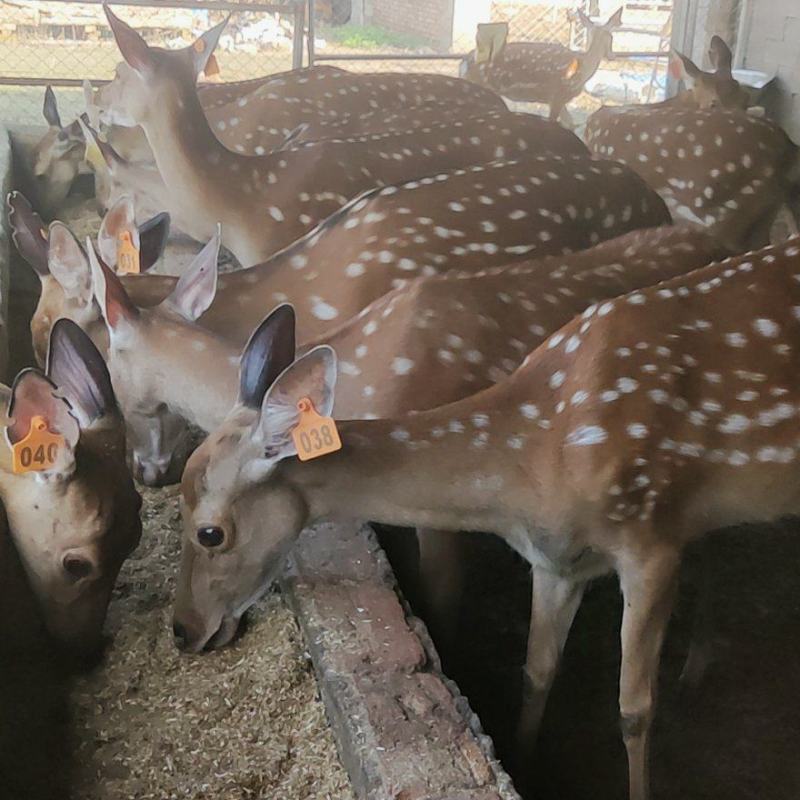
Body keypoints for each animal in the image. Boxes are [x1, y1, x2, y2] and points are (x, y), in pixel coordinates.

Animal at [460, 9, 620, 123]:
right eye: (612, 37)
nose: (612, 56)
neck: (583, 68)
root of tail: (463, 65)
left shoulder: (561, 99)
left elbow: (570, 123)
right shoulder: (557, 94)